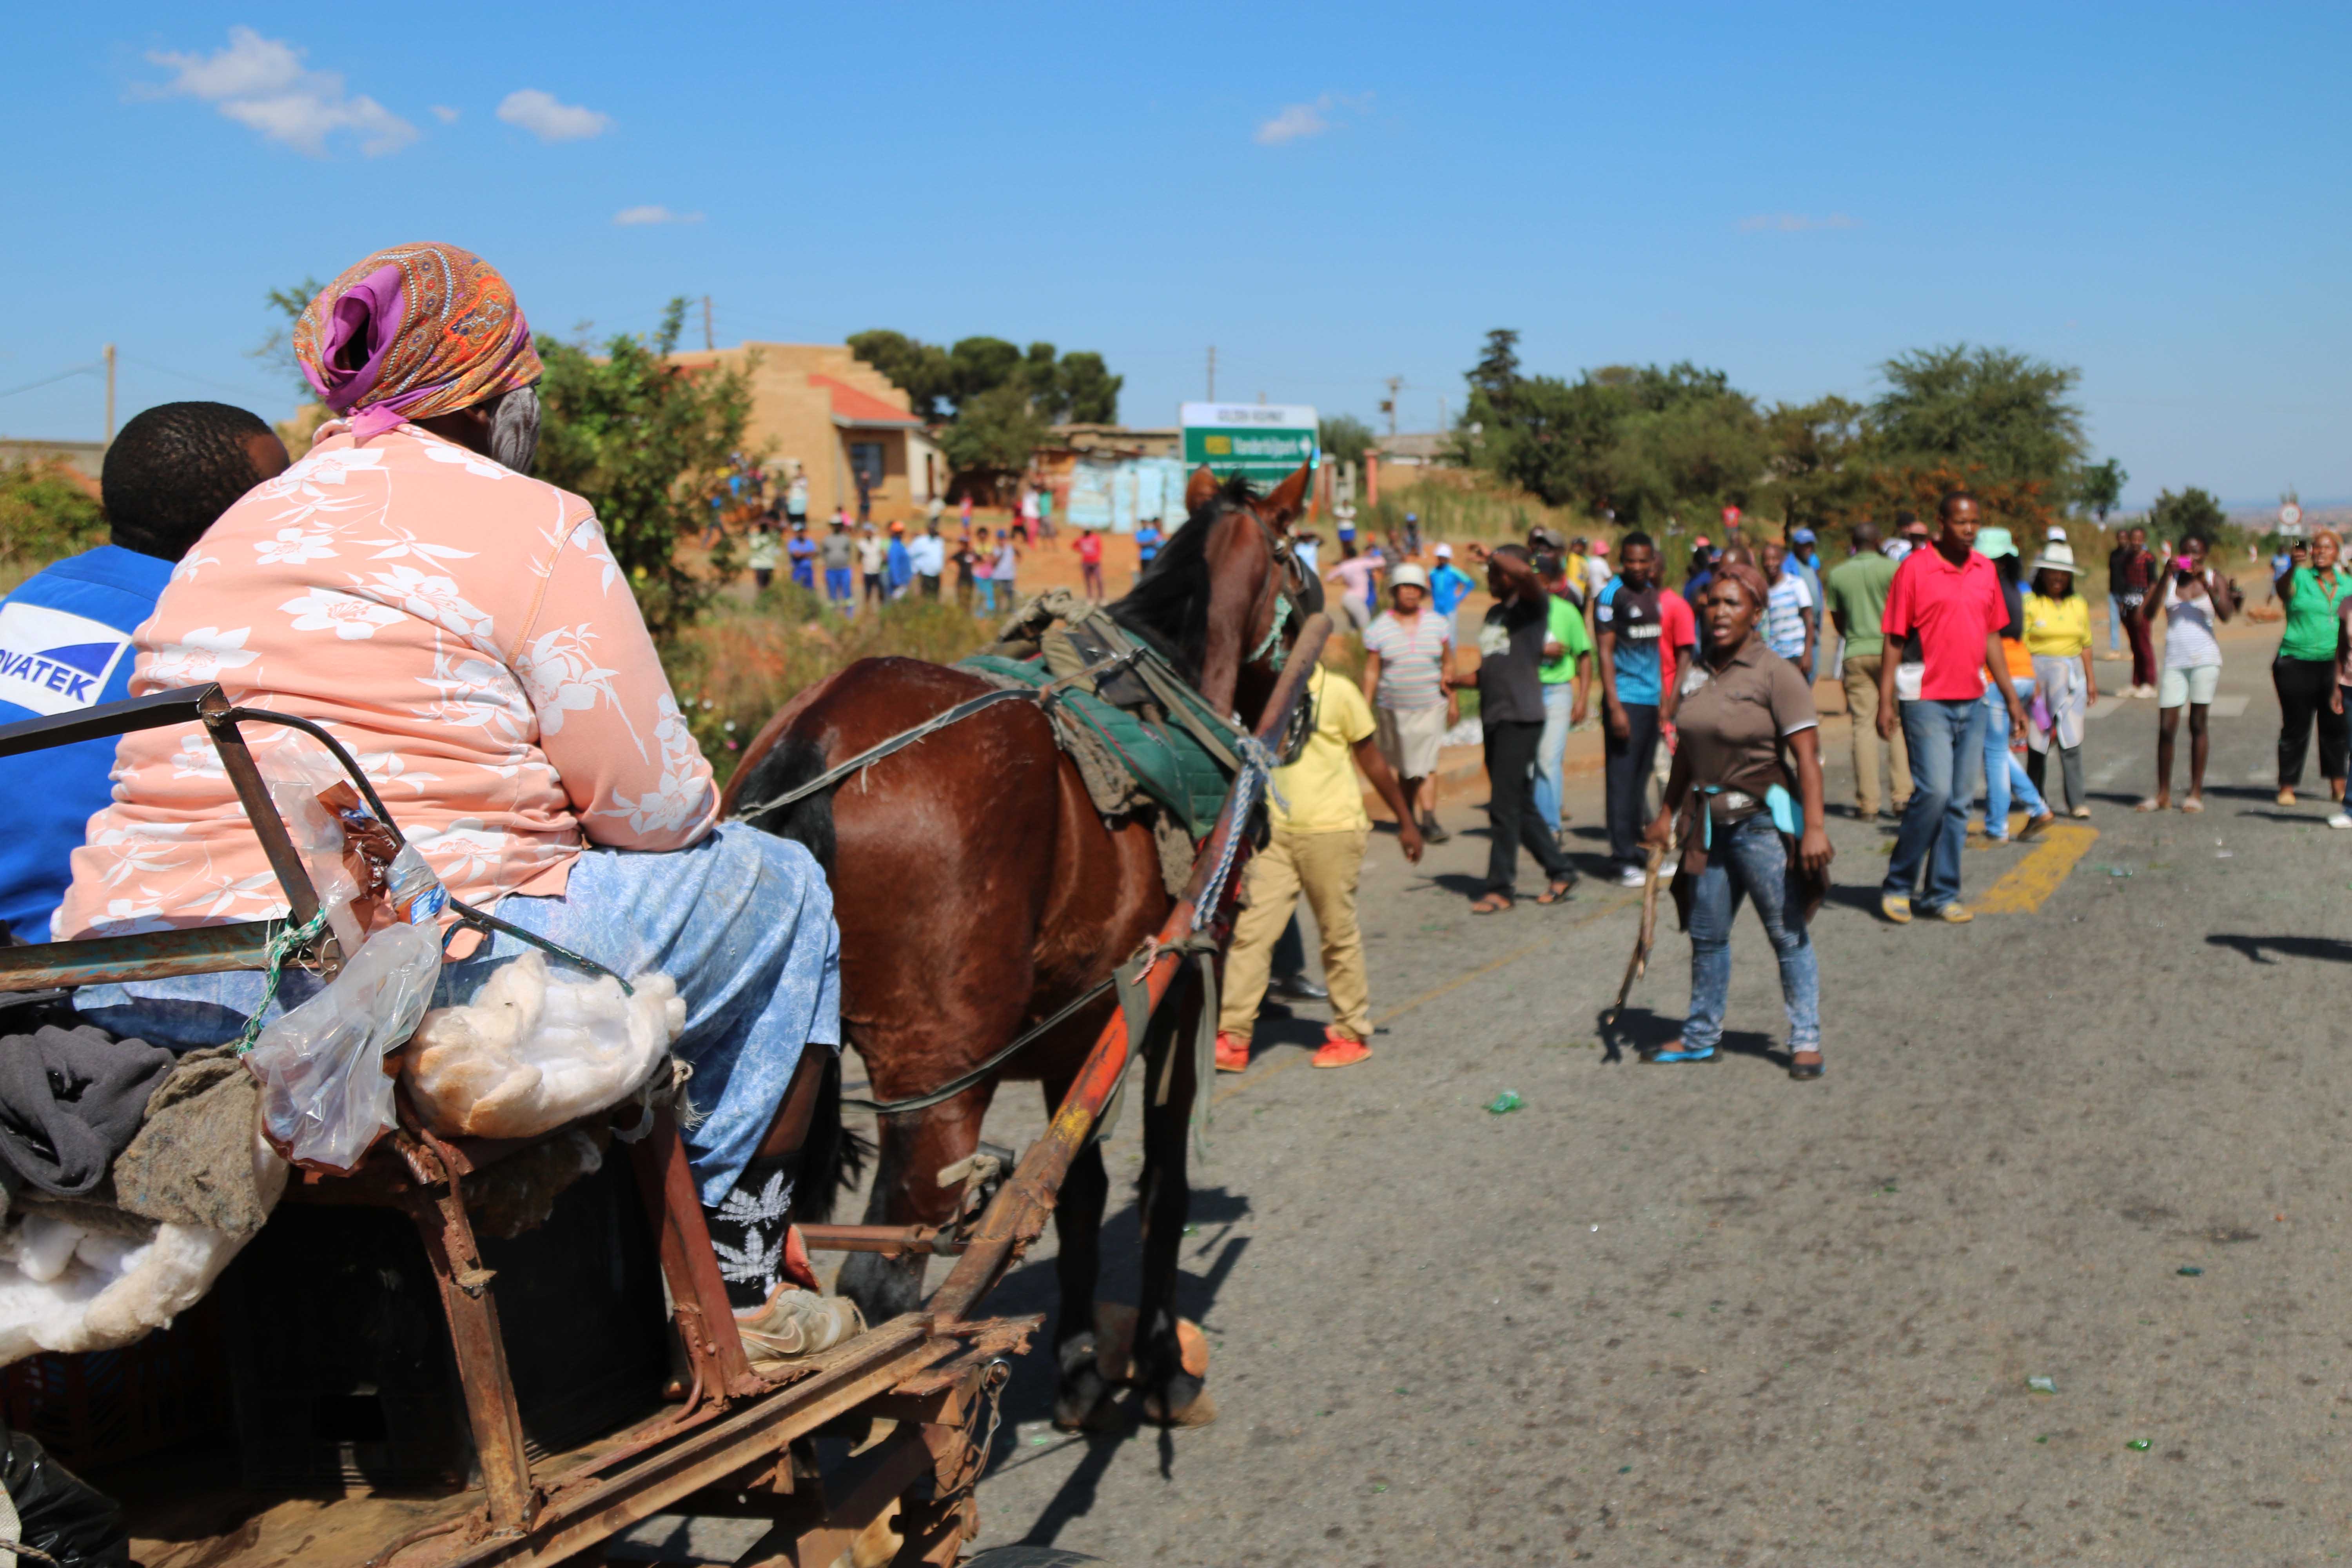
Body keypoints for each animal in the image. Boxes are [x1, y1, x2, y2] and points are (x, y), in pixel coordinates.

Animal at [729, 463, 1327, 1420]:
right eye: (1299, 559)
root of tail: (814, 739)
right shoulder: (1178, 991)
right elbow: (1162, 1188)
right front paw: (1160, 1359)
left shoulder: (1075, 1028)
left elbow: (1076, 1189)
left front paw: (1081, 1359)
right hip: (938, 1082)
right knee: (880, 1292)